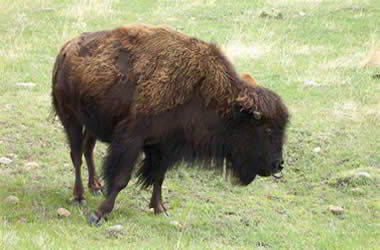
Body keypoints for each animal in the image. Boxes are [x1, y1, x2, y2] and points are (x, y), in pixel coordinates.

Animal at [50, 23, 288, 224]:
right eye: (267, 129)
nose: (278, 165)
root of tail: (66, 49)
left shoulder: (165, 145)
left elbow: (159, 176)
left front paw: (160, 208)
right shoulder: (131, 139)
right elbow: (121, 178)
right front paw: (99, 214)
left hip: (94, 123)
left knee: (87, 149)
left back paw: (96, 186)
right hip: (70, 118)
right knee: (76, 155)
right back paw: (79, 196)